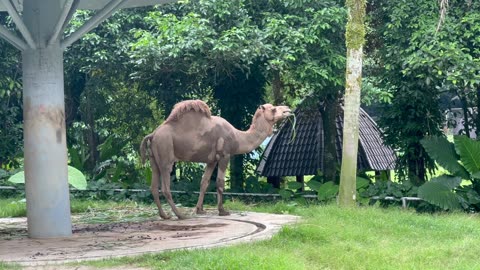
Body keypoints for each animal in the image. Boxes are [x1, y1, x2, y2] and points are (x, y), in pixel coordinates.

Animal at [137, 99, 290, 219]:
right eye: (273, 109)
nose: (288, 110)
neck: (237, 136)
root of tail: (153, 134)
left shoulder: (211, 160)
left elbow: (204, 182)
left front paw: (200, 210)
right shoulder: (224, 155)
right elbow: (220, 183)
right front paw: (222, 211)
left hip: (154, 160)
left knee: (153, 187)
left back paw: (164, 215)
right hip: (166, 155)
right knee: (165, 187)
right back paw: (180, 215)